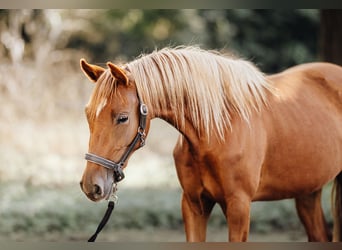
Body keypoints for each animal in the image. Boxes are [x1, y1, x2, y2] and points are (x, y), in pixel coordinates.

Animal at [78, 46, 342, 241]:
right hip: (308, 191)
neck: (216, 132)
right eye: (88, 114)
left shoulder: (239, 207)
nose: (92, 185)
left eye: (122, 118)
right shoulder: (194, 204)